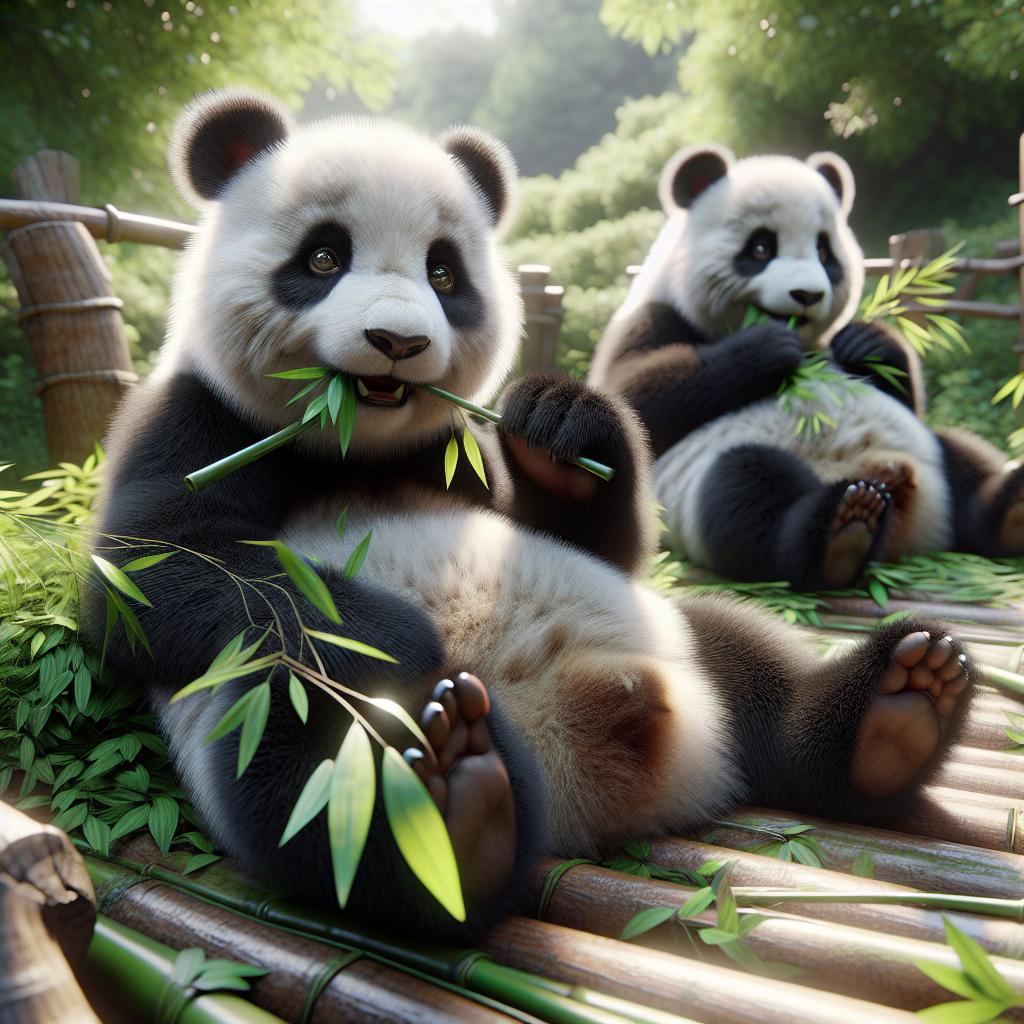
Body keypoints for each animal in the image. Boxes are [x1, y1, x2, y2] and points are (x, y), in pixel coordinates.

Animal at [88, 91, 974, 942]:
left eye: (444, 272)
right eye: (322, 257)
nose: (397, 341)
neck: (353, 445)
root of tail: (596, 775)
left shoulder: (459, 445)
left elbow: (590, 532)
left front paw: (562, 427)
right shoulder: (198, 419)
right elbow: (151, 579)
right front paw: (404, 636)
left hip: (670, 634)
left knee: (749, 658)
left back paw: (898, 706)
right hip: (282, 712)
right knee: (300, 751)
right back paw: (455, 806)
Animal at [590, 144, 1024, 591]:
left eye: (824, 252)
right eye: (761, 248)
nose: (808, 294)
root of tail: (909, 527)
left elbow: (899, 389)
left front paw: (867, 342)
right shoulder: (654, 317)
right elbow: (633, 399)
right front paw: (766, 348)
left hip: (926, 452)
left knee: (962, 457)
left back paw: (1010, 507)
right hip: (705, 483)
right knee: (746, 490)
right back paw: (843, 534)